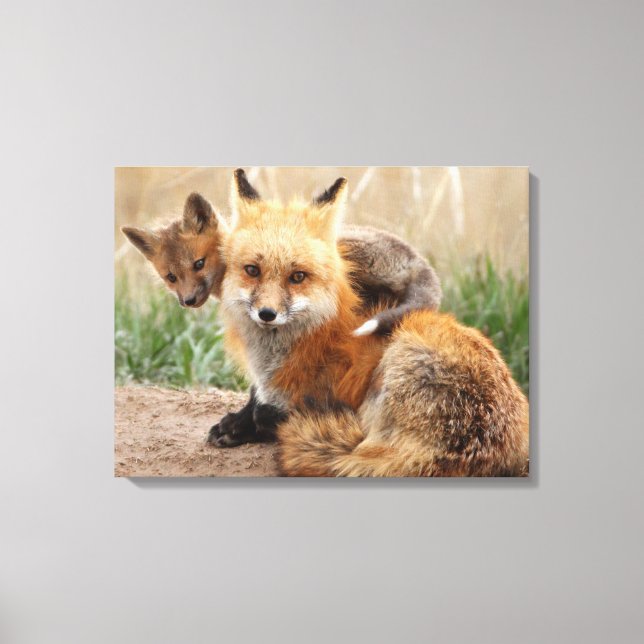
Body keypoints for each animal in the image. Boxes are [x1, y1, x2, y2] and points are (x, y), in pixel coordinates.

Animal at [121, 173, 442, 446]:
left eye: (199, 264)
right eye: (171, 277)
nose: (187, 300)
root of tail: (419, 261)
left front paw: (250, 424)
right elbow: (258, 388)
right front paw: (241, 423)